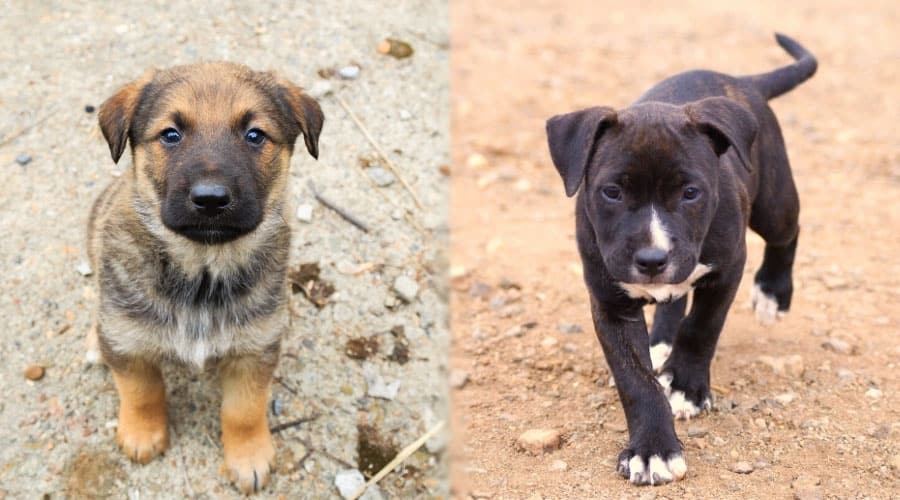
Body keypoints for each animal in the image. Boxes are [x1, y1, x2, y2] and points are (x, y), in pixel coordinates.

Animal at [86, 61, 326, 492]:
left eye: (254, 135)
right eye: (170, 134)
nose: (211, 199)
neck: (202, 271)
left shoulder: (254, 350)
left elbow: (244, 411)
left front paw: (248, 457)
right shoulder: (128, 341)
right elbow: (141, 392)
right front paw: (142, 433)